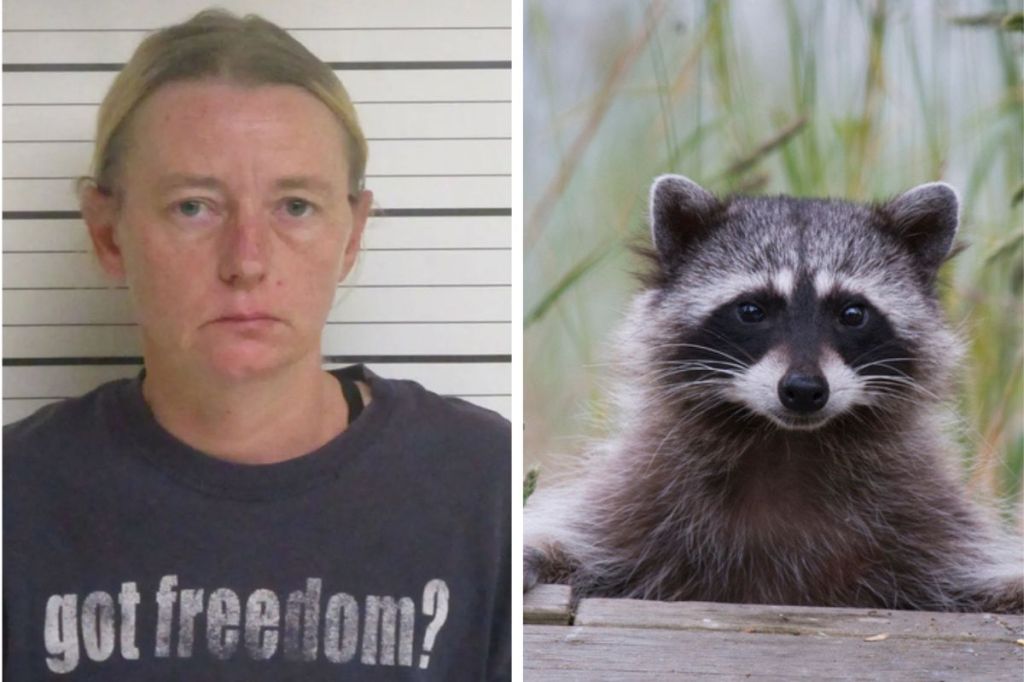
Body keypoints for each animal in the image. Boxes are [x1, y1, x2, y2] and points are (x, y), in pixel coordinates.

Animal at [524, 175, 1024, 613]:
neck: (786, 443)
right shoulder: (637, 499)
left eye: (852, 313)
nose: (803, 390)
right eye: (751, 310)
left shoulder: (927, 518)